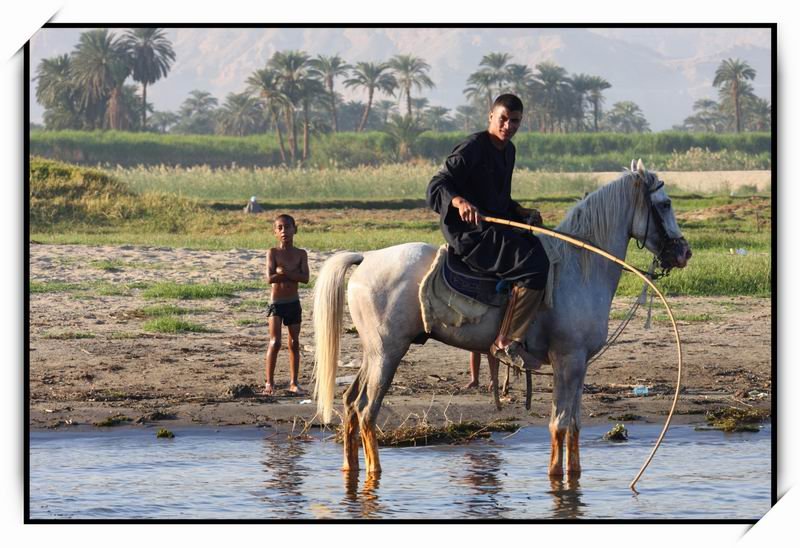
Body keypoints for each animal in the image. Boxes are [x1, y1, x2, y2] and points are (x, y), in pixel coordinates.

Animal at [314, 161, 692, 478]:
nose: (684, 252)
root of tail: (365, 259)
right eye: (665, 204)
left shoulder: (578, 363)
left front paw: (571, 476)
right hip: (388, 353)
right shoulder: (568, 359)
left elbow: (573, 424)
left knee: (350, 405)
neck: (580, 268)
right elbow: (560, 423)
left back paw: (351, 469)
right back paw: (374, 473)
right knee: (367, 411)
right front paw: (556, 476)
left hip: (374, 352)